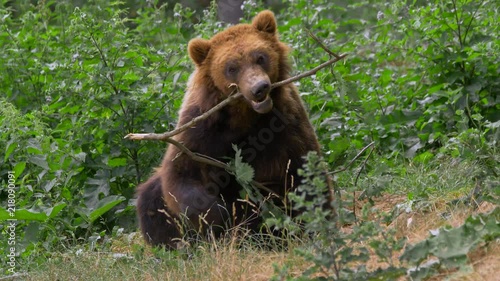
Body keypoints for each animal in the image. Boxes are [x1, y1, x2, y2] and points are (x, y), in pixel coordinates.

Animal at [137, 10, 322, 247]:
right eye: (232, 68)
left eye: (260, 57)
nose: (259, 88)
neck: (244, 117)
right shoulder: (200, 128)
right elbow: (181, 173)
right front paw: (217, 215)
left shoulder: (285, 122)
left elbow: (302, 170)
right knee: (151, 199)